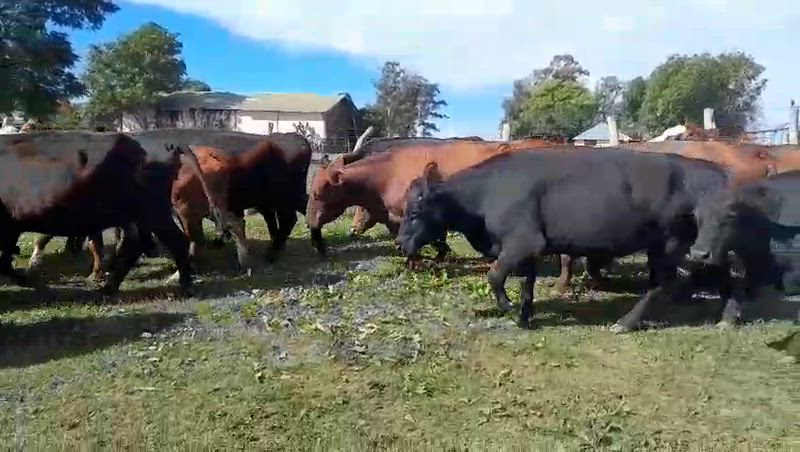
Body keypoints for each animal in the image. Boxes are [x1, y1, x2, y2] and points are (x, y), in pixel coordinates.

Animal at [0, 131, 215, 295]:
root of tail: (166, 144)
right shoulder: (12, 227)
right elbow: (5, 257)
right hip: (140, 216)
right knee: (135, 246)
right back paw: (109, 287)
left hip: (153, 213)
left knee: (176, 241)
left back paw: (185, 286)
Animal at [396, 148, 733, 332]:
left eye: (415, 211)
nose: (399, 243)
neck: (485, 193)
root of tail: (710, 169)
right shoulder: (528, 249)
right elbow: (527, 284)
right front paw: (525, 315)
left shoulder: (523, 241)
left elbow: (495, 276)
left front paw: (508, 308)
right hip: (692, 245)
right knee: (718, 271)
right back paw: (729, 316)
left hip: (668, 243)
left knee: (661, 284)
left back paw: (626, 323)